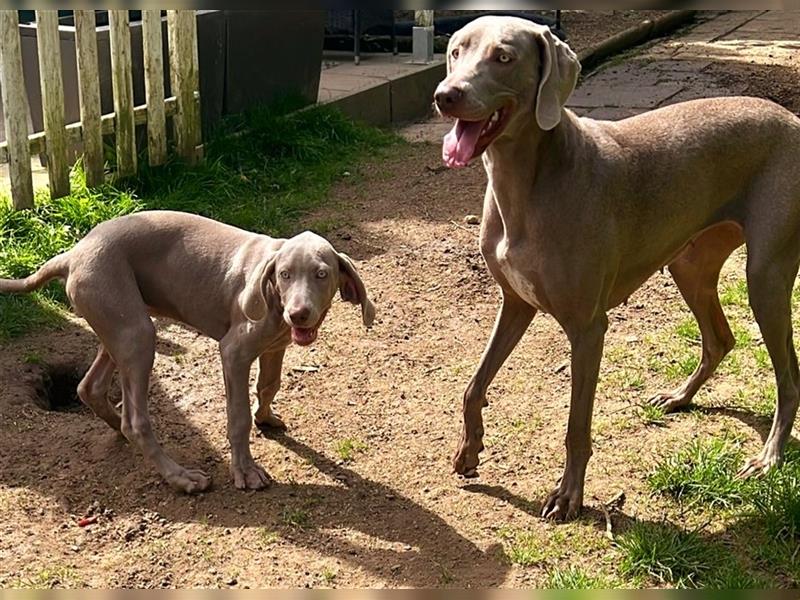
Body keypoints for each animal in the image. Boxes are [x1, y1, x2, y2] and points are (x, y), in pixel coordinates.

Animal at [0, 211, 376, 492]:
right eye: (284, 274)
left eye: (321, 274)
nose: (298, 314)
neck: (271, 296)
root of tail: (73, 254)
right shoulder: (234, 352)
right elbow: (237, 416)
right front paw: (245, 471)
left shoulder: (274, 347)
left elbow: (269, 385)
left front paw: (266, 417)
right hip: (136, 331)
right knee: (135, 421)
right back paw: (181, 478)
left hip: (120, 325)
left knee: (89, 387)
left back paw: (114, 425)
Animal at [434, 15, 800, 520]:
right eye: (455, 51)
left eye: (503, 57)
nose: (445, 95)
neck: (528, 183)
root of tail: (793, 119)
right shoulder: (515, 303)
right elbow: (473, 385)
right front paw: (469, 451)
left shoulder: (588, 328)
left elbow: (576, 426)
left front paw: (568, 496)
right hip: (690, 263)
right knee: (721, 339)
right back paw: (679, 397)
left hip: (765, 274)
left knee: (788, 376)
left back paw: (768, 457)